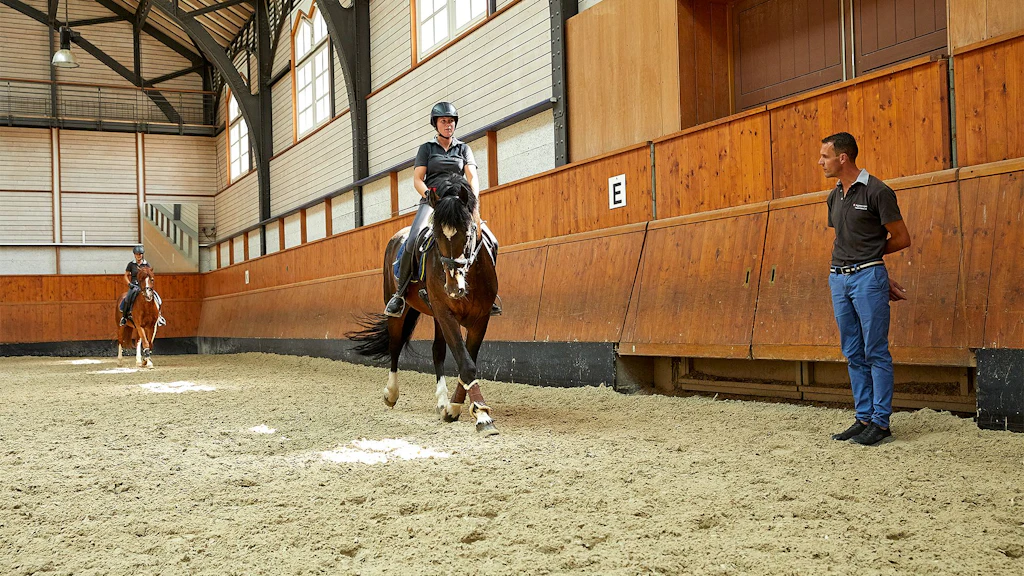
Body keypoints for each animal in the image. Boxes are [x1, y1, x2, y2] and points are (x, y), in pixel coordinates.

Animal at [347, 172, 500, 435]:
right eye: (436, 237)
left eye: (469, 232)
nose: (453, 288)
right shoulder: (445, 312)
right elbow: (466, 363)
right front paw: (481, 416)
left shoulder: (480, 318)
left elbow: (466, 361)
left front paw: (455, 408)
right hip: (401, 309)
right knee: (395, 346)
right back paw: (391, 394)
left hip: (437, 317)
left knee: (437, 351)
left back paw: (441, 401)